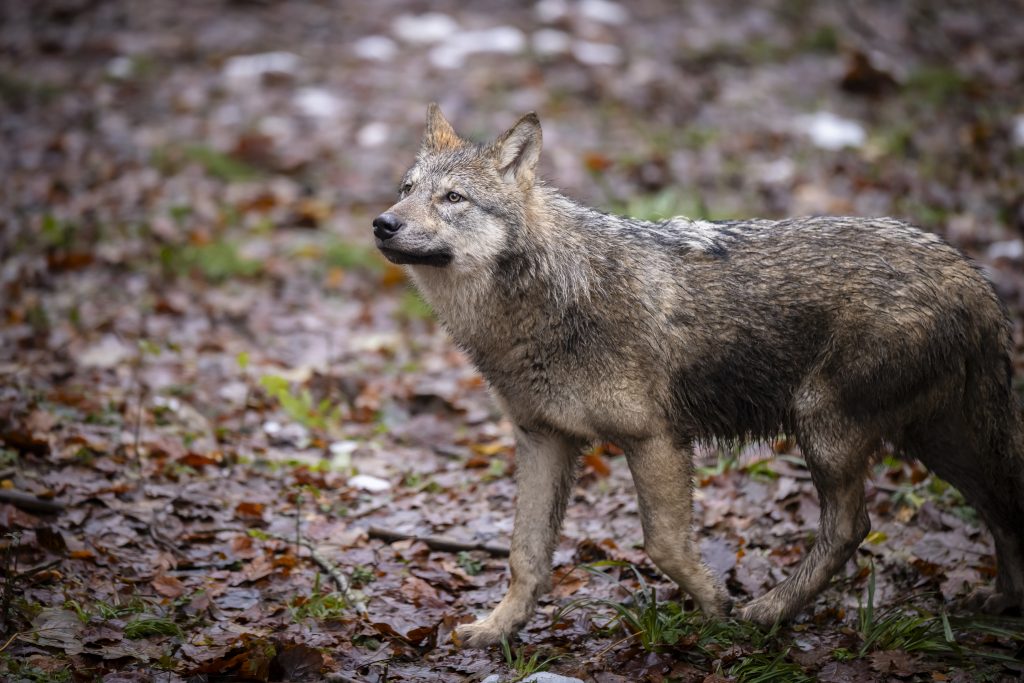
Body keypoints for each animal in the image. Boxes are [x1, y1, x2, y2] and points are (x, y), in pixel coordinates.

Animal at [372, 102, 1024, 647]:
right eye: (407, 189)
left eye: (453, 198)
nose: (382, 223)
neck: (547, 298)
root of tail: (973, 277)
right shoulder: (543, 441)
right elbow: (524, 556)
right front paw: (496, 631)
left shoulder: (655, 439)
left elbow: (662, 543)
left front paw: (716, 608)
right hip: (934, 442)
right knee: (997, 503)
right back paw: (1002, 603)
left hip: (826, 427)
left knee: (851, 527)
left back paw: (767, 612)